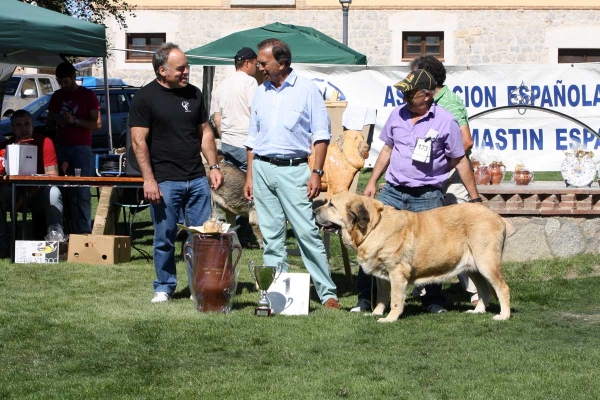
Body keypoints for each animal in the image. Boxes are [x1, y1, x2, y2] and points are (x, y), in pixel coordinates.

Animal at [314, 192, 510, 324]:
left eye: (331, 205)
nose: (314, 210)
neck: (372, 227)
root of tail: (498, 217)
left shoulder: (396, 273)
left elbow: (395, 299)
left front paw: (390, 318)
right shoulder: (382, 275)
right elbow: (381, 297)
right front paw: (376, 313)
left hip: (486, 262)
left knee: (502, 288)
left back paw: (504, 315)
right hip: (473, 267)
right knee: (483, 290)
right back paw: (478, 311)